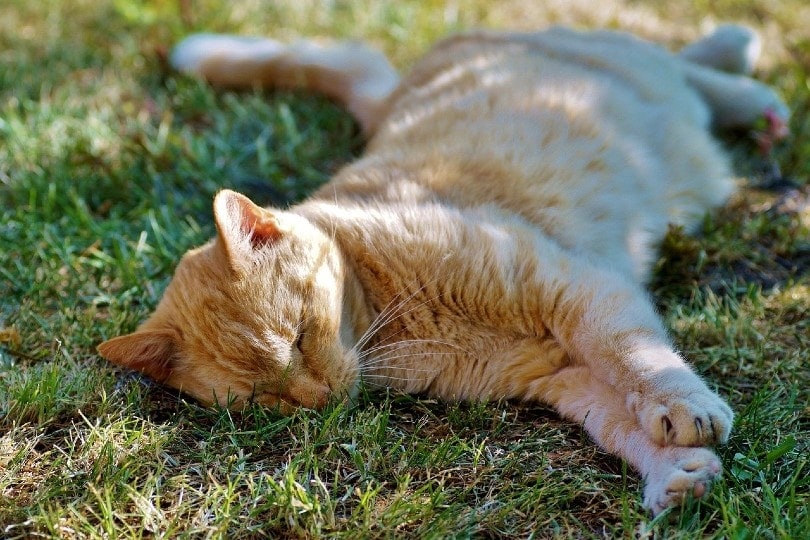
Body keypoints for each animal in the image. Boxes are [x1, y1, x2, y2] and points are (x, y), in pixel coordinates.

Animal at [98, 25, 784, 516]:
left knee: (678, 64)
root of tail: (398, 95)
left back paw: (750, 76)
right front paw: (678, 470)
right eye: (264, 398)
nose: (318, 401)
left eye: (297, 337)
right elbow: (622, 423)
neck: (393, 323)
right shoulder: (564, 373)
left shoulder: (580, 294)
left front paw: (684, 410)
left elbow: (640, 359)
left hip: (608, 62)